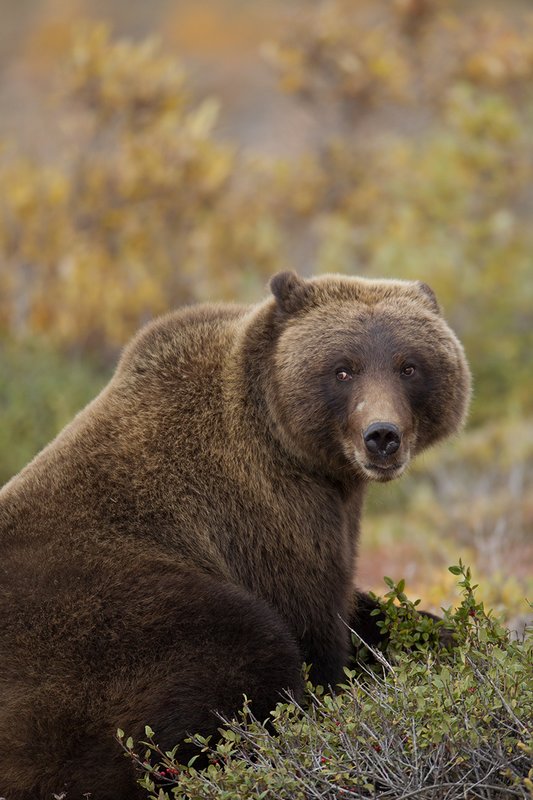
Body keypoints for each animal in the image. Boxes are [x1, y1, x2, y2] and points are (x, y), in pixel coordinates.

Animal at [0, 271, 471, 799]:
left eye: (409, 366)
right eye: (342, 370)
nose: (382, 436)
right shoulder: (270, 519)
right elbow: (316, 627)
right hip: (96, 629)